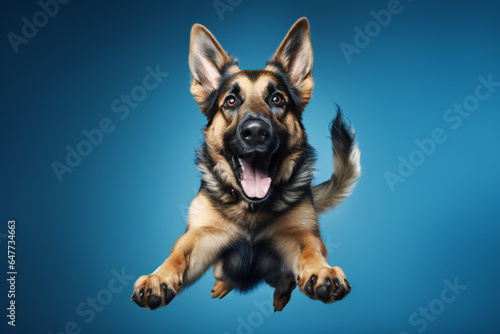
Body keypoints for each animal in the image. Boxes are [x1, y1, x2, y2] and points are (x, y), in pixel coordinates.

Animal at [131, 17, 362, 310]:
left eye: (277, 99)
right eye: (231, 101)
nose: (255, 132)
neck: (251, 208)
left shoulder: (299, 233)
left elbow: (310, 248)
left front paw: (322, 271)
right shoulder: (201, 236)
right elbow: (178, 253)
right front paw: (158, 277)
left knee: (284, 281)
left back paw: (279, 297)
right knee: (225, 274)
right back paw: (223, 286)